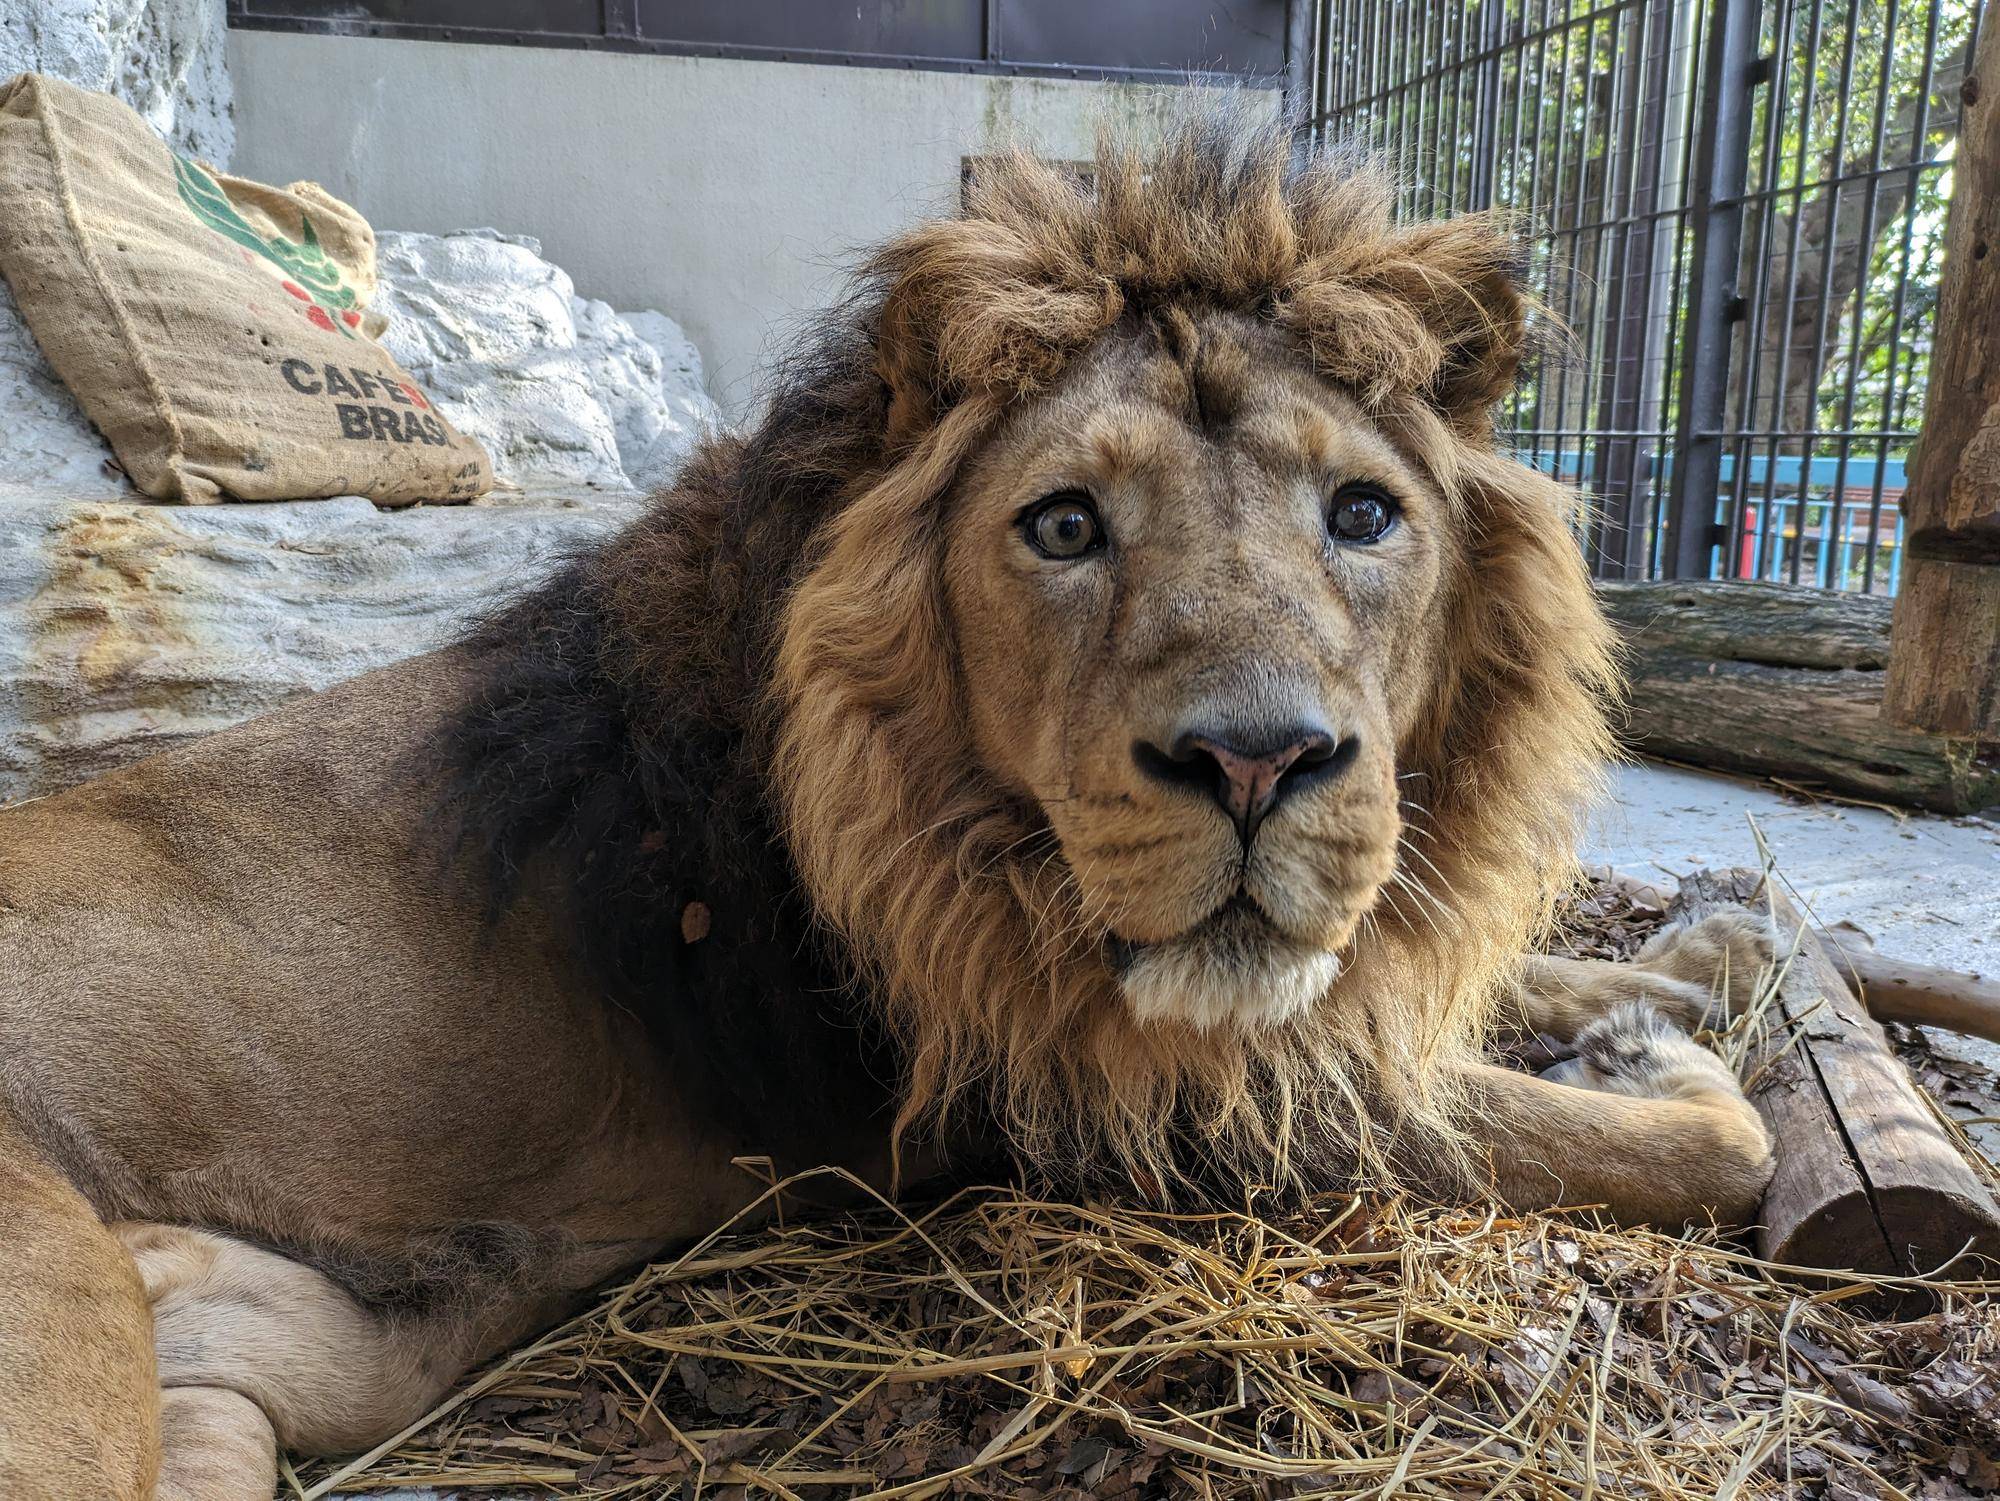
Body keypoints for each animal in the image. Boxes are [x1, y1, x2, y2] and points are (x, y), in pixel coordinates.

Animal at [7, 111, 1992, 1496]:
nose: (1258, 762)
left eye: (1363, 516)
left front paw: (1683, 969)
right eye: (1064, 527)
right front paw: (1670, 1064)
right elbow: (1651, 1145)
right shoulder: (1099, 1115)